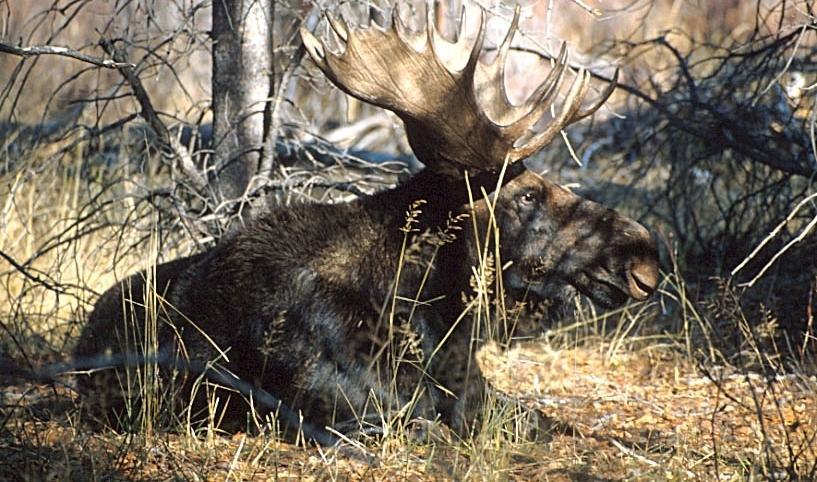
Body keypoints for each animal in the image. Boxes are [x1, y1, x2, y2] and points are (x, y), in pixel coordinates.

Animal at [74, 5, 660, 443]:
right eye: (526, 195)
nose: (644, 258)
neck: (426, 304)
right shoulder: (335, 397)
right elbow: (420, 421)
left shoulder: (470, 384)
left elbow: (536, 418)